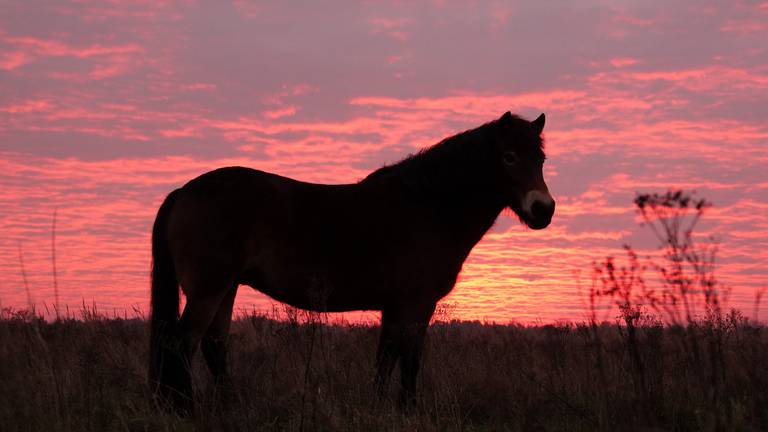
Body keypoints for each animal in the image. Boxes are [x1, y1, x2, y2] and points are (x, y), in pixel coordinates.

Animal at [148, 111, 552, 412]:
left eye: (541, 158)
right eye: (509, 156)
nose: (543, 210)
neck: (427, 206)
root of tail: (184, 191)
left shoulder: (395, 307)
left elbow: (385, 358)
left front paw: (379, 409)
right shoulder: (416, 305)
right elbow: (410, 361)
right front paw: (408, 410)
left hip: (226, 287)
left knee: (212, 345)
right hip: (209, 288)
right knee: (182, 343)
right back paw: (186, 409)